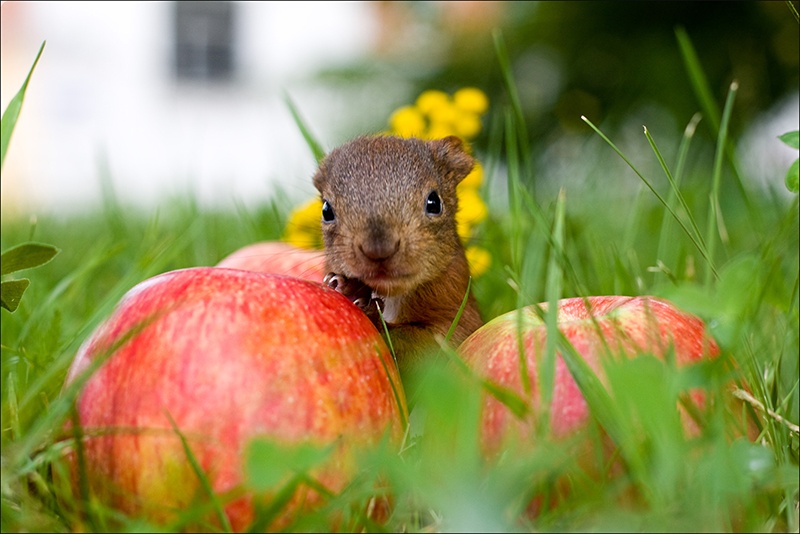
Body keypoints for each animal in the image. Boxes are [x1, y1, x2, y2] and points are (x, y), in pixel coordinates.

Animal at [312, 135, 484, 378]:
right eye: (326, 210)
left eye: (434, 202)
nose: (378, 250)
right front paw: (348, 288)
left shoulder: (459, 319)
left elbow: (425, 346)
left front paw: (361, 301)